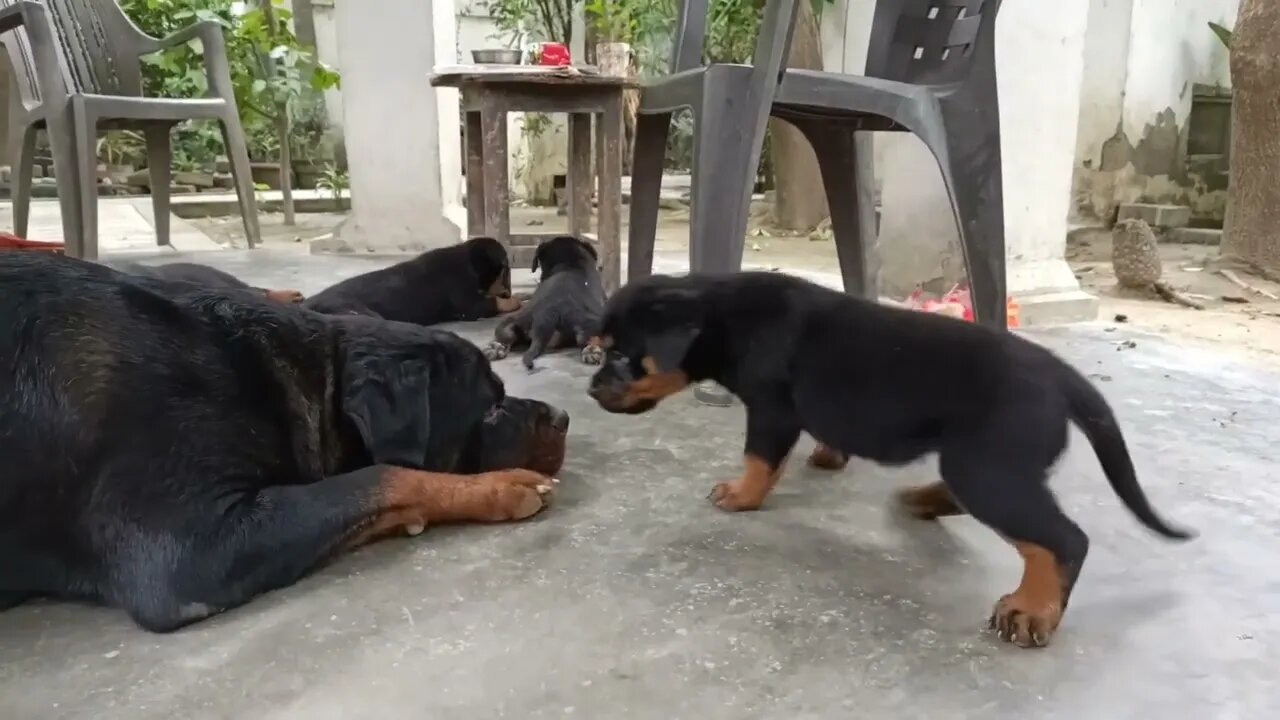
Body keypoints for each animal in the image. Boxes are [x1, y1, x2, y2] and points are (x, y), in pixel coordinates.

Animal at [302, 235, 517, 322]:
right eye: (505, 270)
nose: (508, 292)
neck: (469, 263)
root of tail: (307, 303)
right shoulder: (469, 303)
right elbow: (494, 302)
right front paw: (515, 300)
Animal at [486, 235, 611, 368]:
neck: (569, 263)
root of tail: (546, 316)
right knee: (591, 339)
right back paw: (592, 351)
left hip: (513, 319)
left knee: (505, 335)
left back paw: (495, 347)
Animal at [586, 271, 1192, 648]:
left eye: (621, 356)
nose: (592, 391)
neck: (721, 315)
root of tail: (1062, 376)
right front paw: (829, 456)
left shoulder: (772, 409)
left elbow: (759, 457)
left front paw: (740, 494)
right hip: (982, 462)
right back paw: (921, 501)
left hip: (987, 466)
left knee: (1064, 540)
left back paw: (1031, 610)